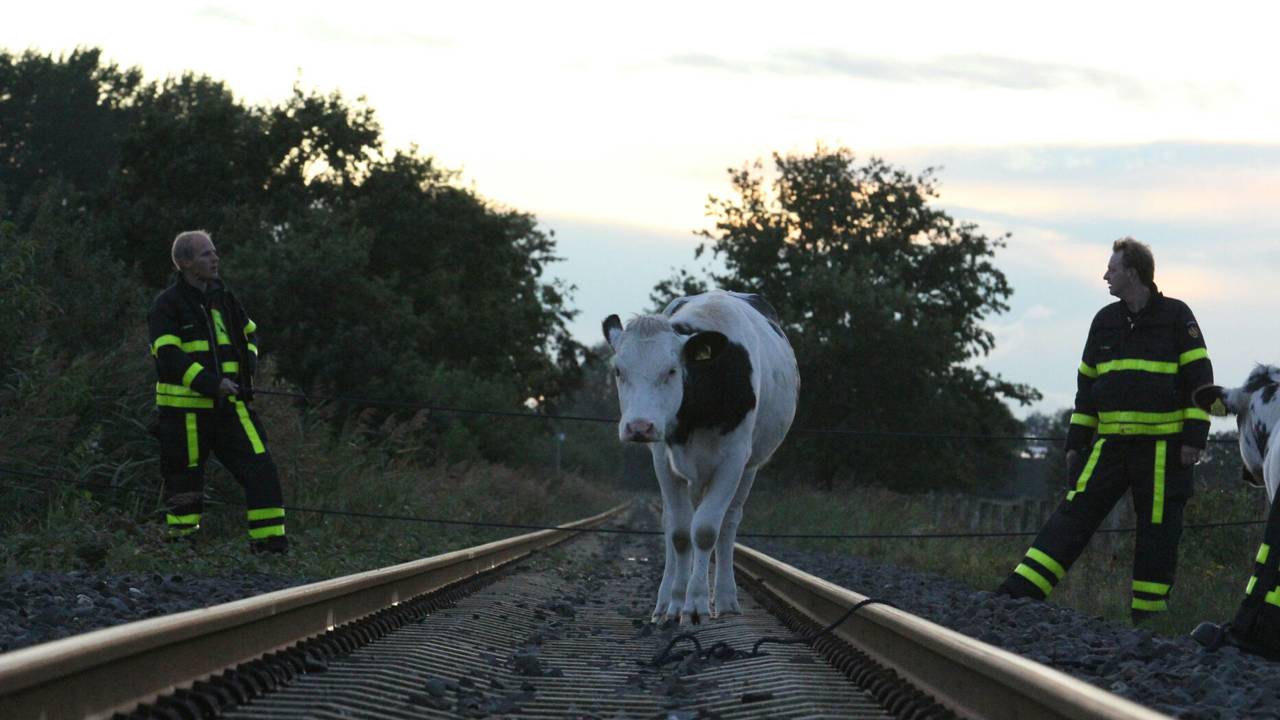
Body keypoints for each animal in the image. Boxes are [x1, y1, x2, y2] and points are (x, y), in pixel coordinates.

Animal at [602, 290, 799, 625]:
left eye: (672, 370)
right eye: (619, 371)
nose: (639, 427)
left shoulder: (735, 459)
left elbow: (706, 531)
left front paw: (695, 604)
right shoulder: (663, 461)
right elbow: (681, 533)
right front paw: (676, 604)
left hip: (750, 467)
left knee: (728, 523)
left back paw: (725, 598)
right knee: (671, 522)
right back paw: (663, 602)